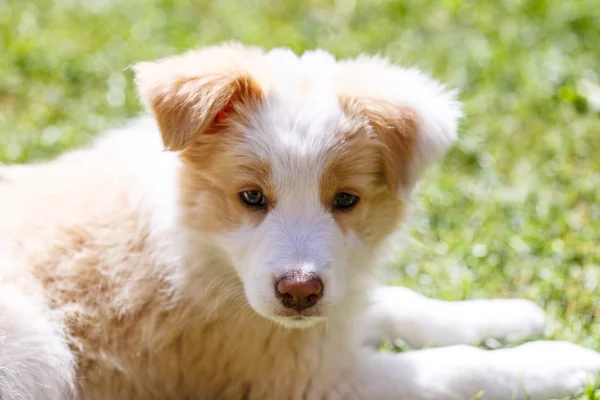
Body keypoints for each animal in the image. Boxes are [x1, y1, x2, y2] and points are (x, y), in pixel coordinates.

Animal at [0, 42, 596, 398]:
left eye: (346, 200)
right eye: (251, 196)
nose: (299, 292)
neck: (201, 249)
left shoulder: (329, 314)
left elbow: (401, 304)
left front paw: (508, 315)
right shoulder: (311, 379)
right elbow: (458, 368)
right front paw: (563, 362)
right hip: (33, 343)